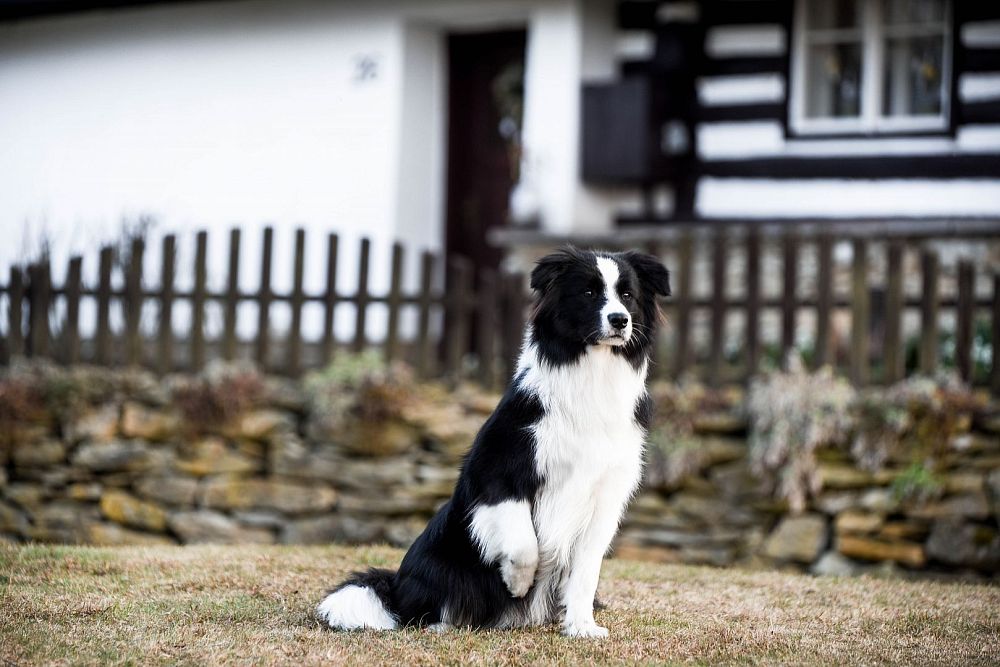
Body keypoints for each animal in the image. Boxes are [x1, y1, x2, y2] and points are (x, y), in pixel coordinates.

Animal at [316, 248, 668, 640]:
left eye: (628, 295)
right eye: (589, 292)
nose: (620, 320)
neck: (593, 374)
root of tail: (394, 586)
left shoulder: (606, 494)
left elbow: (585, 571)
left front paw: (582, 627)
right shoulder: (496, 471)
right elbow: (524, 542)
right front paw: (518, 582)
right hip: (441, 562)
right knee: (420, 607)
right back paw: (441, 623)